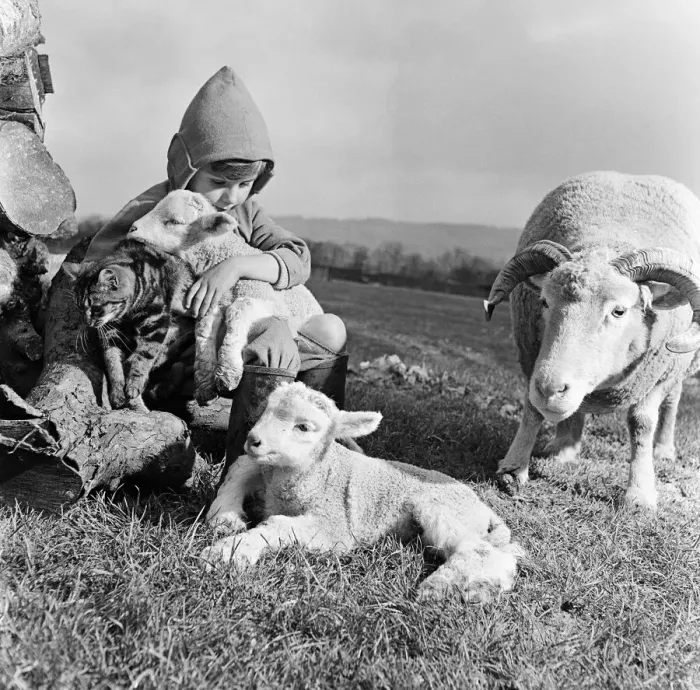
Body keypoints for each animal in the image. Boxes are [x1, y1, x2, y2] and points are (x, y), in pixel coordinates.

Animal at [128, 190, 323, 403]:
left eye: (174, 221)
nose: (132, 228)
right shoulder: (209, 301)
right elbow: (204, 328)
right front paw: (205, 382)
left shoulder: (271, 303)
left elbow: (238, 308)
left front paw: (228, 370)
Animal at [201, 381, 522, 602]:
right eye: (266, 410)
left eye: (303, 427)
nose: (253, 440)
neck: (316, 474)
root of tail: (483, 508)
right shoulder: (263, 469)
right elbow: (240, 468)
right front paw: (225, 519)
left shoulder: (334, 527)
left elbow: (278, 525)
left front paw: (227, 552)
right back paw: (481, 588)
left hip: (443, 507)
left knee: (483, 551)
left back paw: (441, 587)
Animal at [485, 171, 700, 510]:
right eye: (544, 302)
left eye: (619, 311)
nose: (551, 389)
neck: (606, 241)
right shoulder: (532, 356)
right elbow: (531, 409)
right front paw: (513, 467)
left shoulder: (657, 372)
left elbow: (641, 424)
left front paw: (640, 495)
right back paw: (564, 448)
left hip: (680, 365)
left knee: (672, 402)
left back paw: (664, 450)